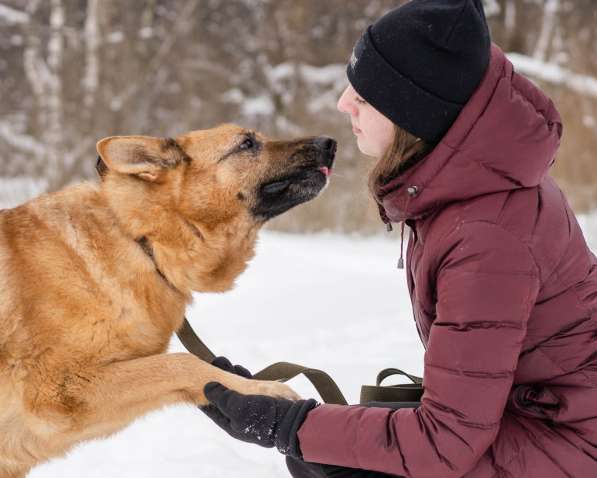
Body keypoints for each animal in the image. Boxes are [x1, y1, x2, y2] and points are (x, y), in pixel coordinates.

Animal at [0, 125, 336, 476]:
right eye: (247, 143)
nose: (330, 143)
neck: (140, 239)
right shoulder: (59, 390)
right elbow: (182, 362)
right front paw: (264, 392)